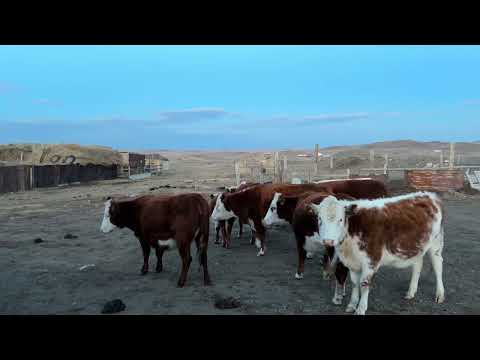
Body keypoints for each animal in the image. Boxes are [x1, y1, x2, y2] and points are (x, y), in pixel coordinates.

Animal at [312, 191, 446, 316]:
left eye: (340, 219)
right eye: (319, 219)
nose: (328, 241)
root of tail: (429, 195)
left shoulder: (371, 260)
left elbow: (364, 284)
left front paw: (361, 308)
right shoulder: (353, 263)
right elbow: (355, 283)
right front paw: (352, 305)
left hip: (436, 243)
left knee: (438, 266)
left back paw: (440, 294)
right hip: (417, 246)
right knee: (418, 264)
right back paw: (411, 292)